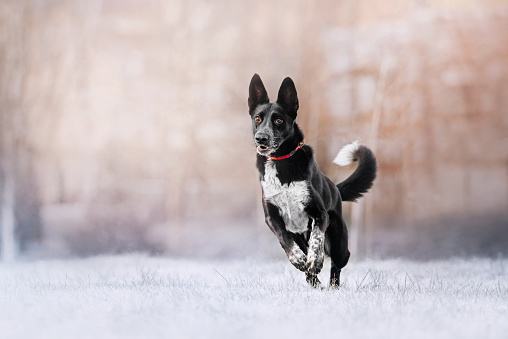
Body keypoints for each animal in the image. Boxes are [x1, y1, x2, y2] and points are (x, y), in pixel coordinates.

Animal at [248, 73, 376, 286]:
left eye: (279, 120)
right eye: (258, 118)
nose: (261, 138)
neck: (281, 160)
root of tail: (336, 189)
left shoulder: (319, 214)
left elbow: (317, 239)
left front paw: (315, 261)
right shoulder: (272, 217)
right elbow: (285, 239)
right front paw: (299, 260)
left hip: (339, 241)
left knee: (339, 262)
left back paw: (331, 286)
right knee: (310, 269)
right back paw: (314, 281)